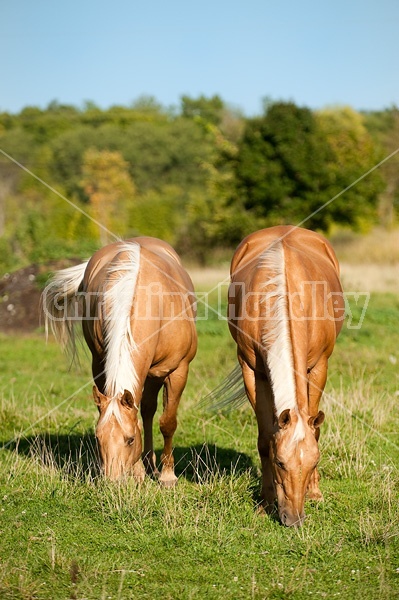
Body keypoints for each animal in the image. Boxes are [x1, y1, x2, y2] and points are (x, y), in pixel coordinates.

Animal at [43, 237, 198, 486]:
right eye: (98, 438)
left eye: (130, 439)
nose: (112, 482)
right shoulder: (99, 365)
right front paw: (139, 472)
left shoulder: (178, 371)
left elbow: (167, 422)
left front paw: (168, 476)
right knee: (146, 410)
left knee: (149, 411)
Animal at [227, 227, 346, 528]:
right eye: (280, 463)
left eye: (313, 462)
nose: (293, 519)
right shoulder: (251, 370)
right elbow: (264, 437)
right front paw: (266, 501)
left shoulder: (319, 367)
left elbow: (315, 429)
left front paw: (315, 492)